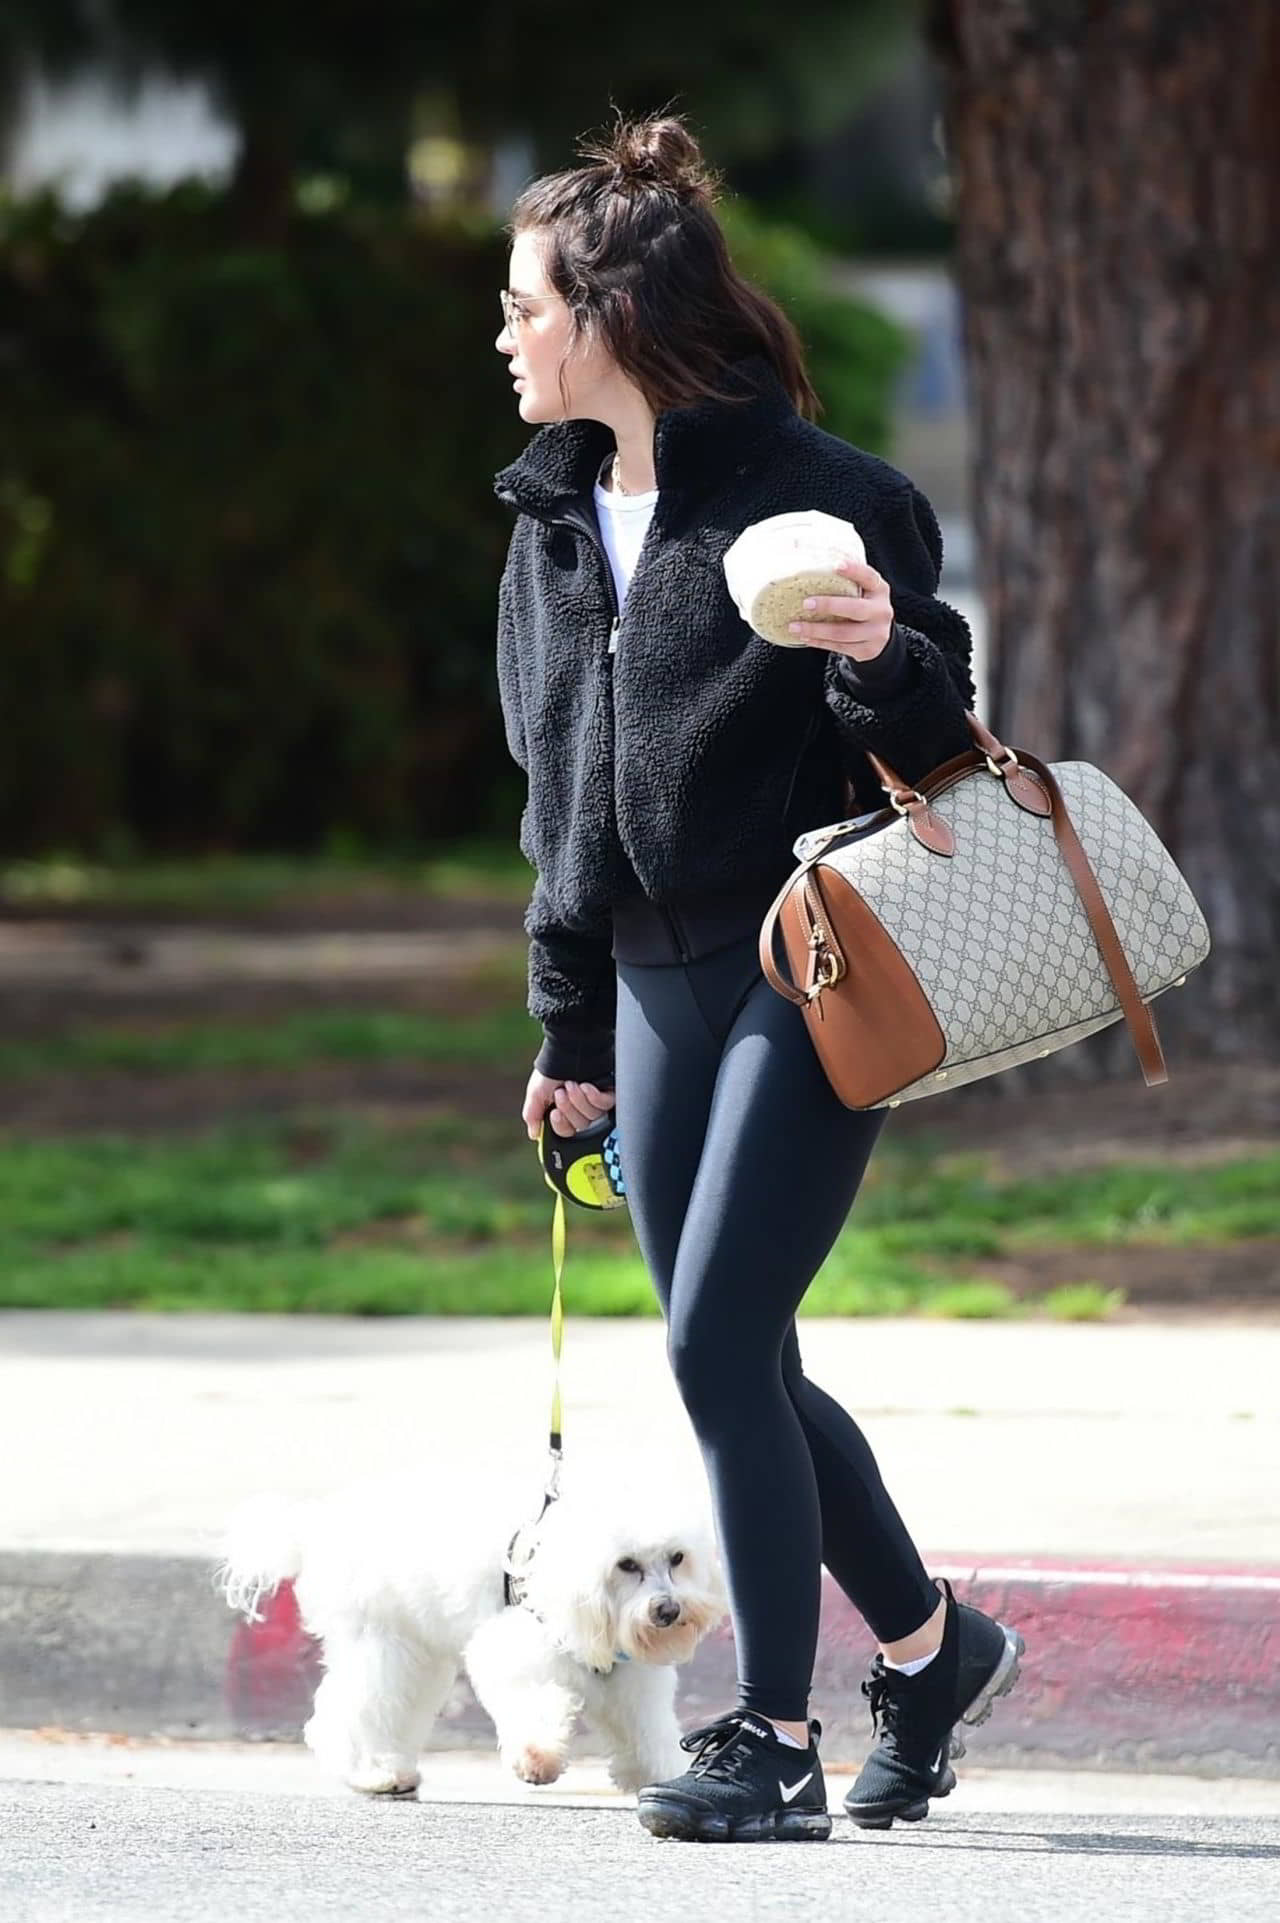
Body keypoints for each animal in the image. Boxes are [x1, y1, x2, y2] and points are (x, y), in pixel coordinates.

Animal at [214, 1469, 722, 1799]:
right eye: (626, 1565)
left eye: (677, 1558)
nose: (668, 1610)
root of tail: (313, 1527)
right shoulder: (516, 1655)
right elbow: (535, 1706)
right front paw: (537, 1757)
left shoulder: (631, 1684)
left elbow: (646, 1729)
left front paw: (660, 1773)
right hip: (381, 1643)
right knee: (355, 1710)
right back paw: (373, 1772)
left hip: (416, 1655)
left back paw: (393, 1769)